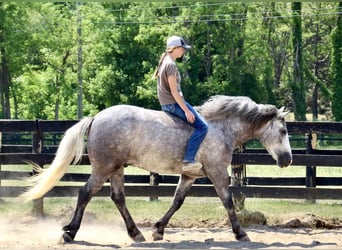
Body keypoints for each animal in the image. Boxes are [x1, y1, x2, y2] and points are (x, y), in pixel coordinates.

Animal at [21, 96, 292, 244]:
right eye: (283, 131)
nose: (287, 159)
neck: (220, 128)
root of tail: (96, 118)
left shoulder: (189, 176)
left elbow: (177, 201)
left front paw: (158, 230)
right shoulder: (216, 172)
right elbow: (227, 201)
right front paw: (241, 234)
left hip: (116, 169)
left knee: (118, 198)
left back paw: (136, 234)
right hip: (103, 168)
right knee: (85, 194)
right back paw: (70, 233)